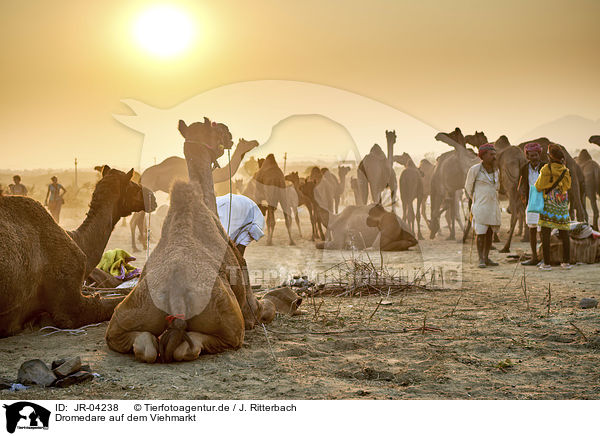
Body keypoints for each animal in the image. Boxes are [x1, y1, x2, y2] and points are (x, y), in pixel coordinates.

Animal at [106, 119, 276, 364]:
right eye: (217, 129)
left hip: (125, 315)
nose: (230, 135)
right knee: (201, 344)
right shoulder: (249, 305)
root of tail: (176, 297)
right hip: (231, 322)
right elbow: (268, 307)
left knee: (143, 345)